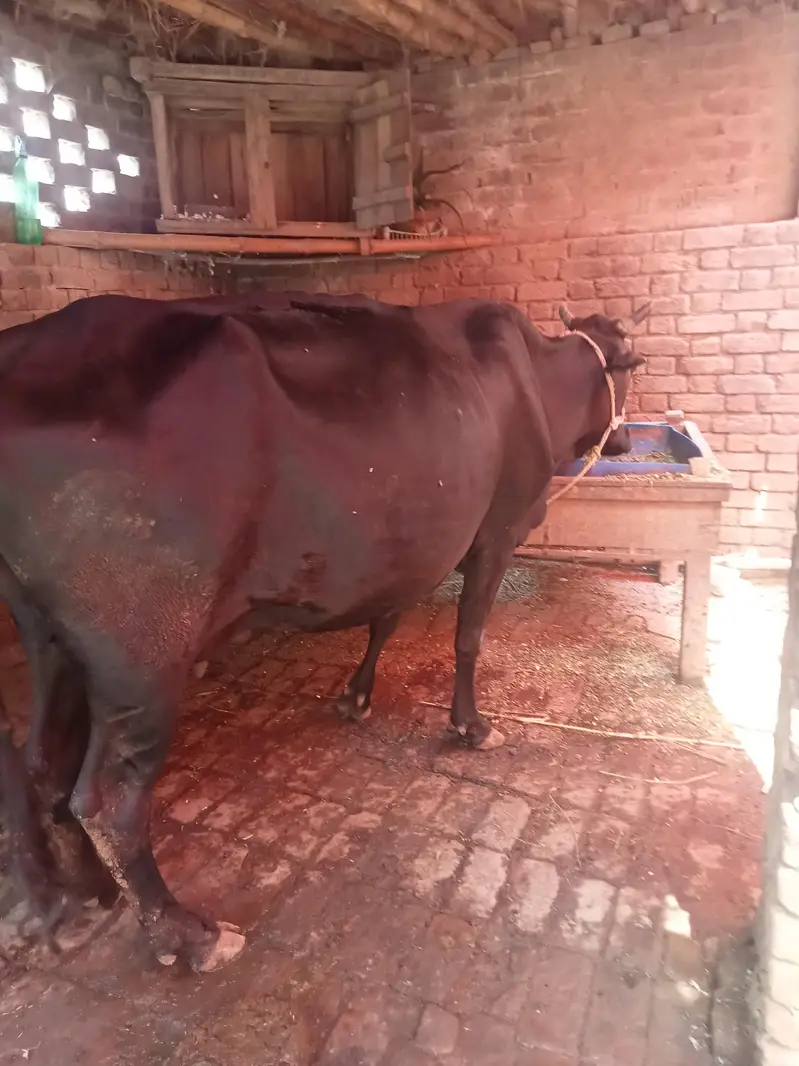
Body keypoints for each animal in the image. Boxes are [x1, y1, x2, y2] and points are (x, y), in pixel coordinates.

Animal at [0, 291, 649, 971]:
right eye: (633, 367)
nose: (627, 437)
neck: (537, 381)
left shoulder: (408, 547)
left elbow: (386, 616)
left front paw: (356, 695)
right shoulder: (497, 531)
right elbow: (468, 637)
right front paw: (471, 726)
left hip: (47, 633)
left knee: (41, 763)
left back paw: (81, 895)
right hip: (144, 652)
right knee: (104, 800)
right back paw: (185, 933)